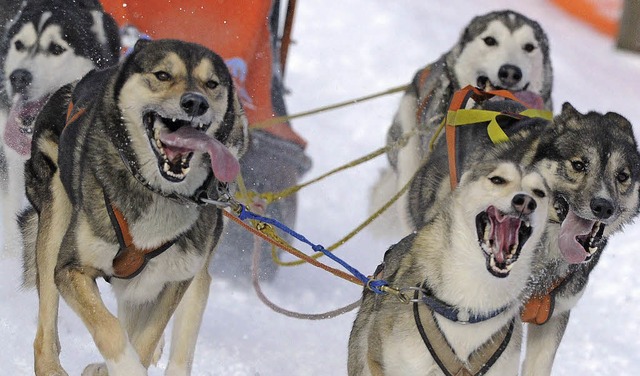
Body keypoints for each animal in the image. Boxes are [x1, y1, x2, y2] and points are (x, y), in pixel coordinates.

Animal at [20, 39, 248, 376]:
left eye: (212, 84)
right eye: (163, 74)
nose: (196, 103)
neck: (158, 191)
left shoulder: (177, 279)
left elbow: (147, 337)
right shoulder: (71, 269)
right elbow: (109, 328)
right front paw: (123, 366)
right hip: (55, 218)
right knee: (46, 324)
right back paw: (50, 366)